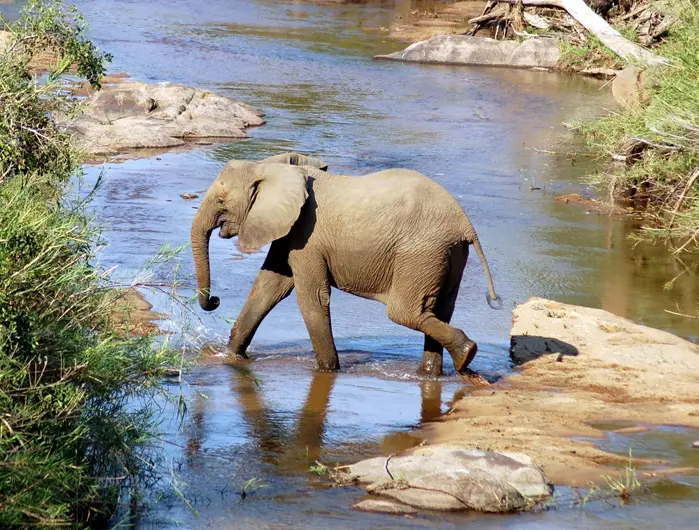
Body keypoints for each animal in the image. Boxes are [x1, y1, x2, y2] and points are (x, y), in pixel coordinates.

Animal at [190, 153, 498, 376]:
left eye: (221, 200)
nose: (215, 300)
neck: (270, 167)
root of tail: (465, 224)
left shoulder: (307, 236)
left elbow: (310, 296)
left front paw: (327, 370)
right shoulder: (290, 232)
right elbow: (269, 287)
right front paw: (230, 356)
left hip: (421, 252)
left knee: (405, 312)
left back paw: (465, 354)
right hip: (447, 253)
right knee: (439, 310)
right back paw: (438, 371)